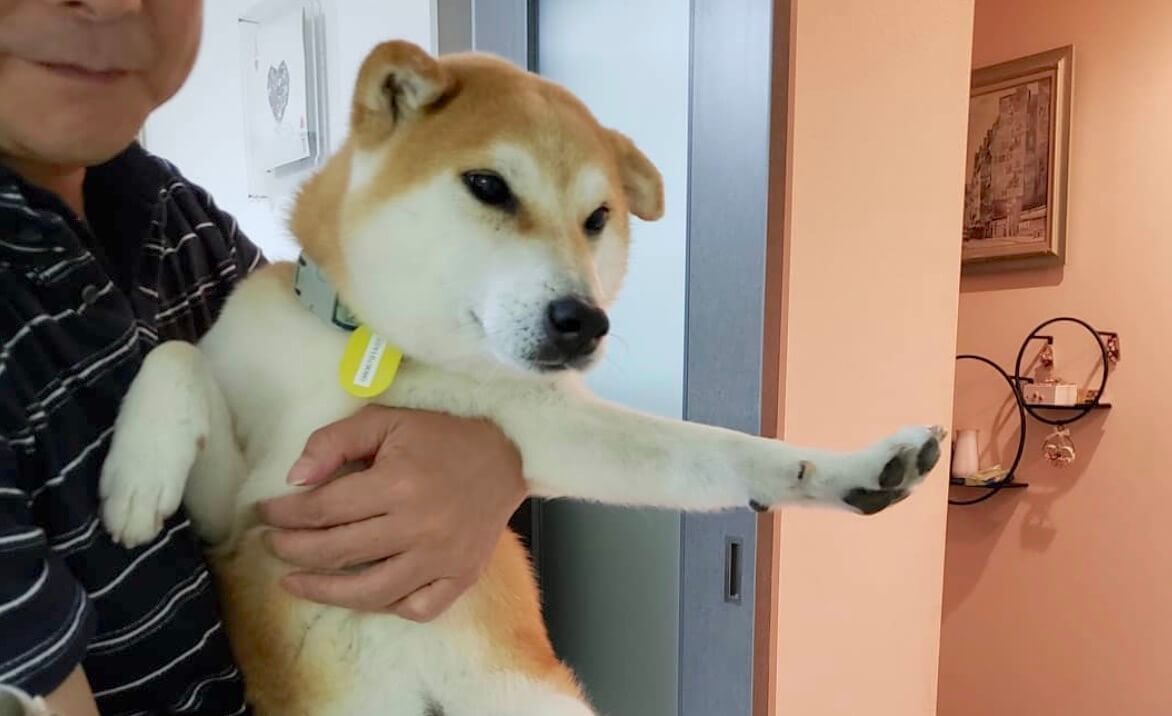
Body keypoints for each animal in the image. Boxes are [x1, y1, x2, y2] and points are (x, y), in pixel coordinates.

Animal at [98, 40, 945, 716]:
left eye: (598, 219)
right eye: (489, 186)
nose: (586, 320)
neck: (384, 356)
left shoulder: (547, 430)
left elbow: (719, 451)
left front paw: (846, 469)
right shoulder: (235, 519)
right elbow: (176, 358)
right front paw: (135, 481)